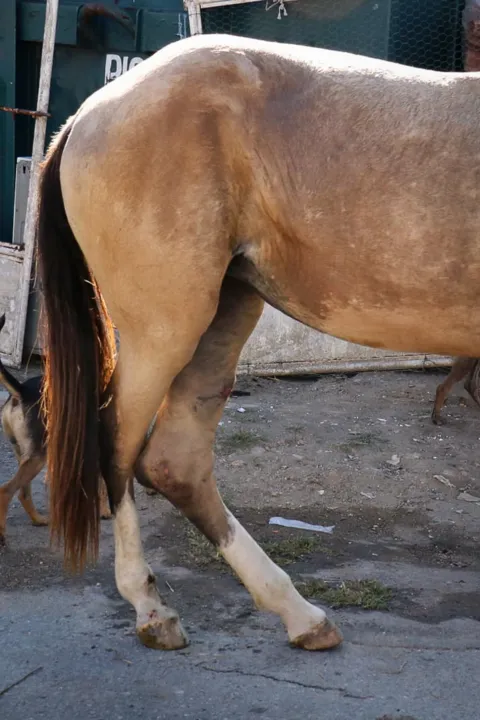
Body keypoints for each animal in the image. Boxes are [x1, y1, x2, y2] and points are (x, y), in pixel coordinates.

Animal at [0, 316, 111, 544]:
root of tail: (21, 392)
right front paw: (105, 510)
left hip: (24, 453)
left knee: (23, 493)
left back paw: (38, 519)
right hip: (38, 457)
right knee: (6, 491)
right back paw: (3, 534)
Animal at [36, 33, 480, 652]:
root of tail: (90, 111)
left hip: (226, 309)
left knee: (176, 464)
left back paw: (298, 614)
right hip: (163, 331)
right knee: (116, 446)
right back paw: (151, 608)